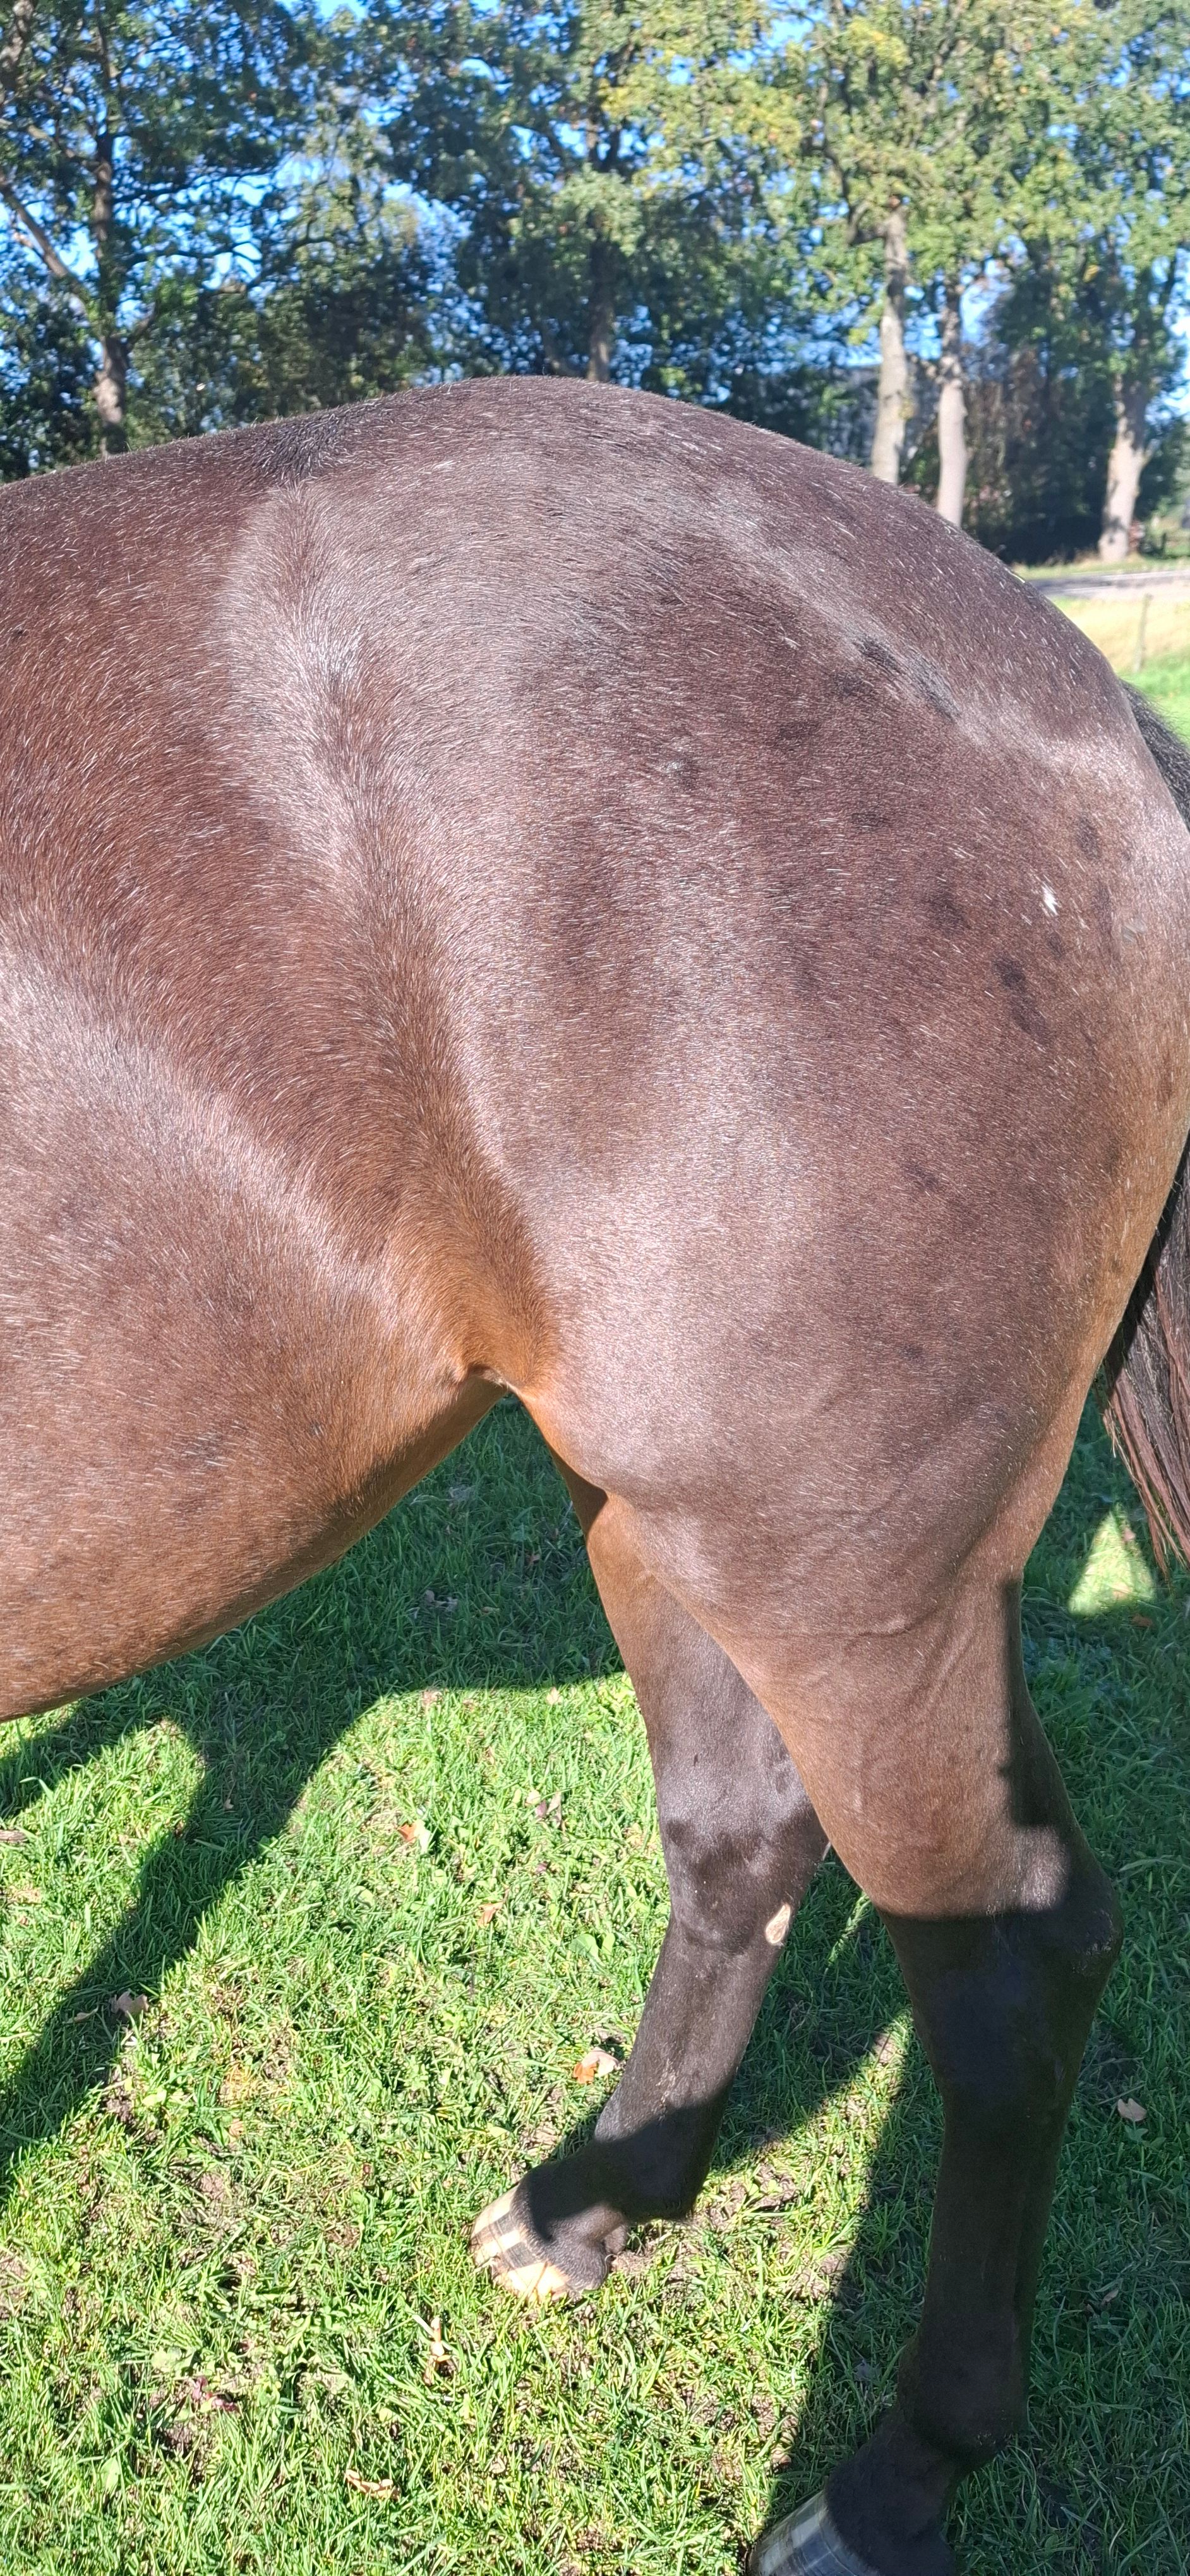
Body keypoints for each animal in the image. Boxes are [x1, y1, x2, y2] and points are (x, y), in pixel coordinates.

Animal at [2, 376, 1188, 2576]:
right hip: (697, 1531)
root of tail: (1065, 682)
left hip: (850, 1581)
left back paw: (889, 2479)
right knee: (744, 1840)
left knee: (1005, 1976)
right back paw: (600, 2200)